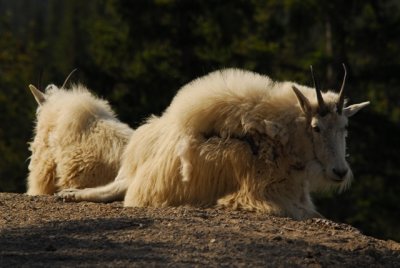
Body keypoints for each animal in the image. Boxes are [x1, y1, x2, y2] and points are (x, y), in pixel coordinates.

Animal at [57, 67, 368, 220]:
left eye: (345, 127)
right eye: (316, 127)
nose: (340, 172)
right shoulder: (262, 194)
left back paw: (68, 193)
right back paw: (67, 194)